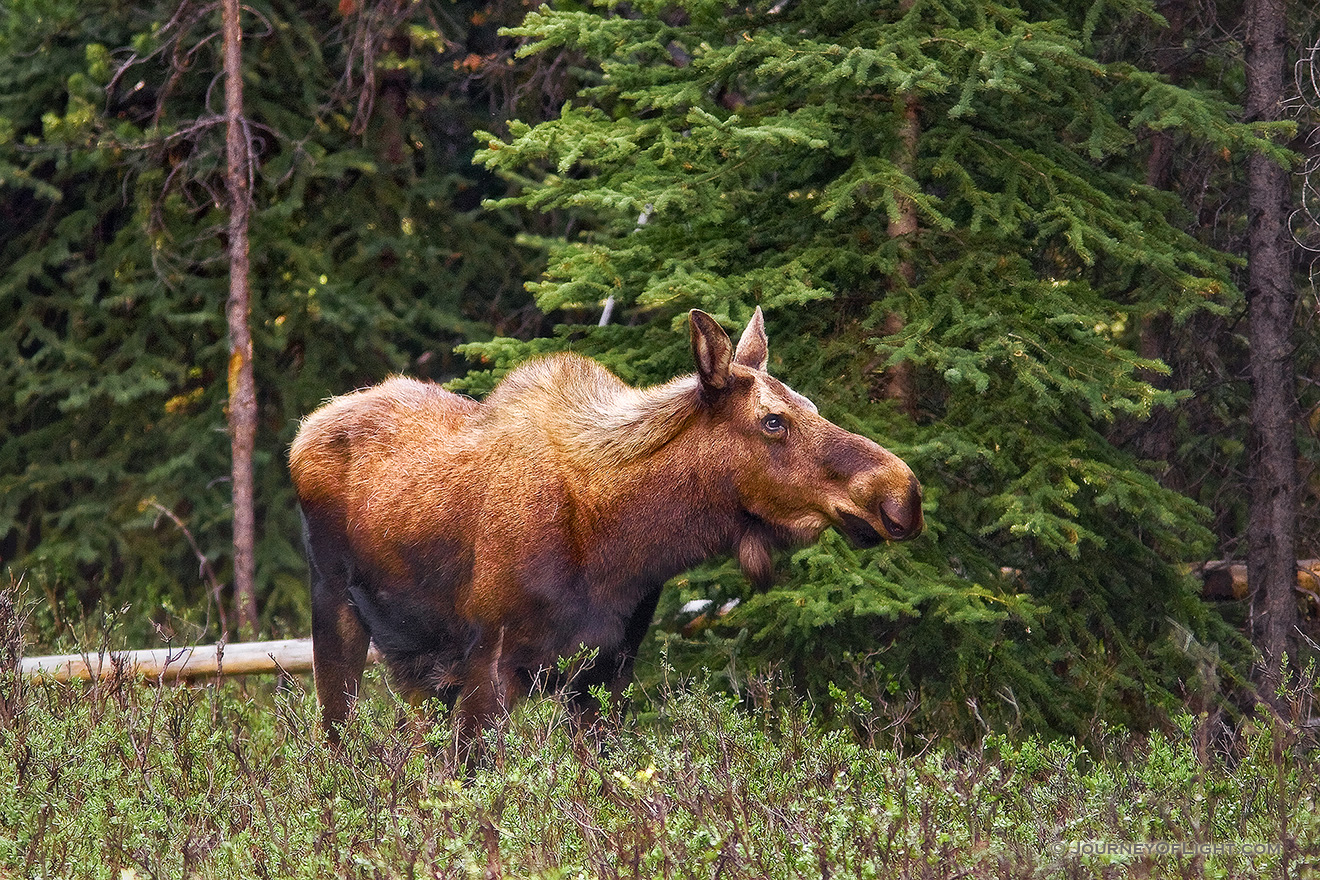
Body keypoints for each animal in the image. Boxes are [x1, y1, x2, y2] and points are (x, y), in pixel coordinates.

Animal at [294, 308, 924, 744]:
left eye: (812, 406)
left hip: (415, 665)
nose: (904, 494)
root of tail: (303, 432)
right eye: (773, 420)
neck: (624, 547)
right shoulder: (488, 663)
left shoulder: (605, 675)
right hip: (335, 608)